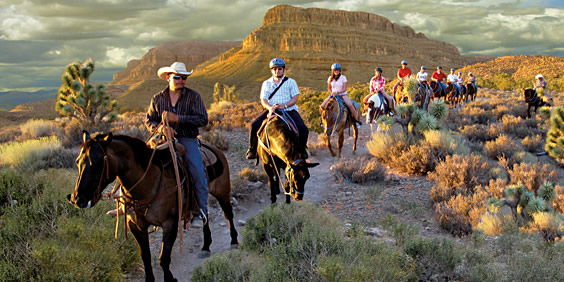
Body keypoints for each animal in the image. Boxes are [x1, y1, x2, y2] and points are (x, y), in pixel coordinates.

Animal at [68, 132, 238, 282]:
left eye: (96, 163)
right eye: (77, 162)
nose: (77, 199)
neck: (147, 184)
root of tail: (214, 148)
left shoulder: (170, 224)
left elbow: (164, 258)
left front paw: (170, 279)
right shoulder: (135, 225)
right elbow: (146, 256)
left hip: (222, 191)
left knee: (228, 214)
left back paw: (234, 241)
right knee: (205, 214)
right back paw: (205, 246)